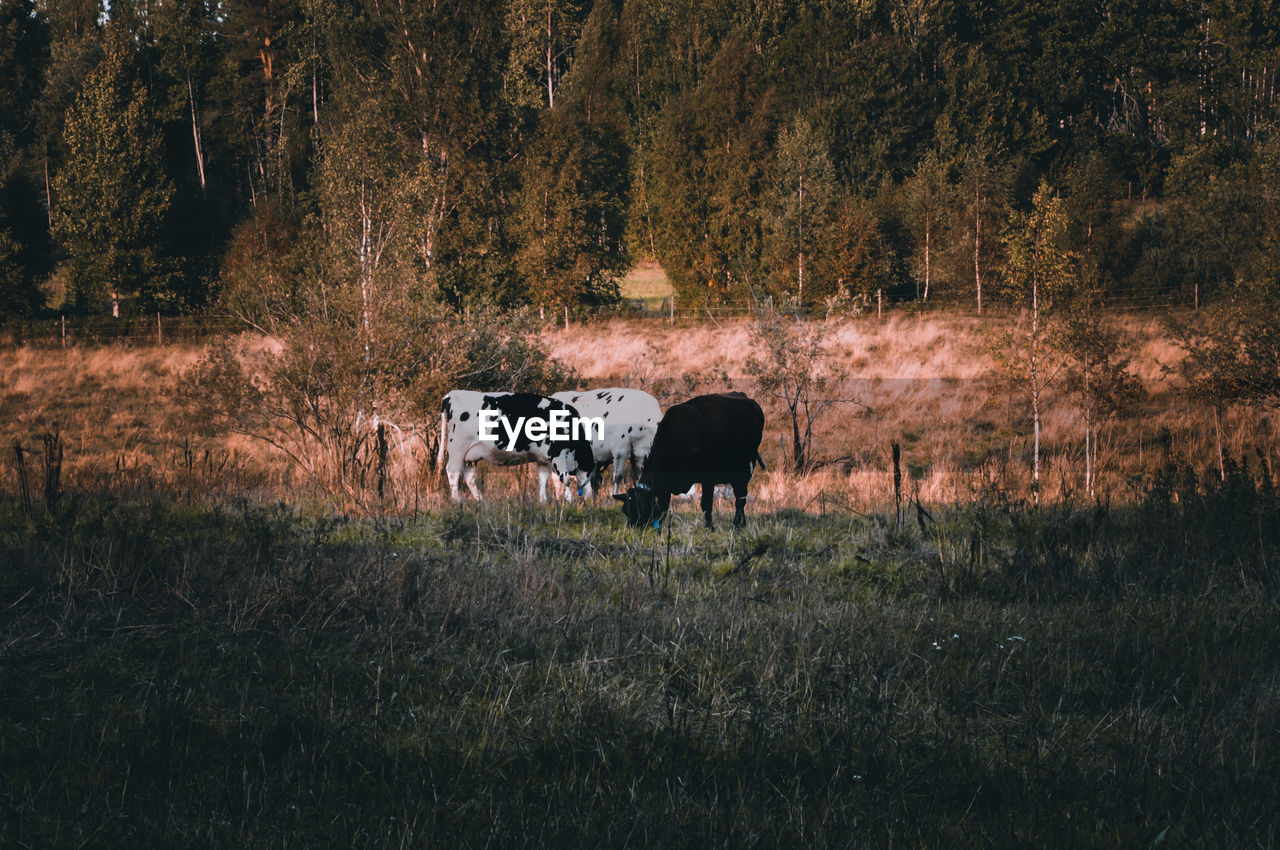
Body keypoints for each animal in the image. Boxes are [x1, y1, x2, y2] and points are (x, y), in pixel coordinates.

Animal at [437, 389, 596, 501]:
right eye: (589, 470)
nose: (590, 499)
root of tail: (451, 395)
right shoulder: (557, 453)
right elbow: (565, 479)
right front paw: (569, 500)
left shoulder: (543, 460)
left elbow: (543, 482)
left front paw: (544, 503)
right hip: (457, 448)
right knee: (452, 472)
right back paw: (458, 501)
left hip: (469, 456)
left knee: (469, 477)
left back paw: (481, 502)